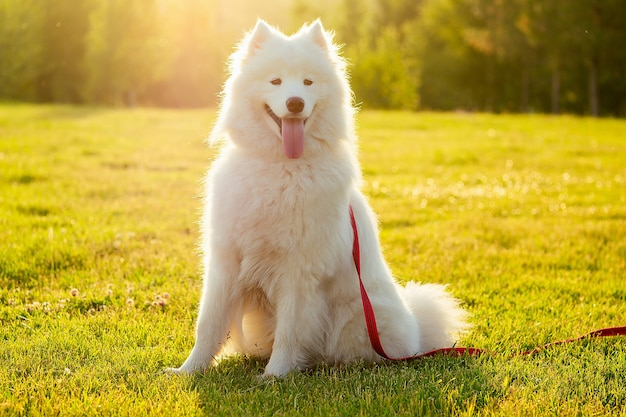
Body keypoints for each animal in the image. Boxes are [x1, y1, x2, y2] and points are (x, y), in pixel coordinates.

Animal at [169, 20, 464, 376]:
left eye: (308, 82)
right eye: (276, 81)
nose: (295, 102)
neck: (281, 167)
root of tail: (417, 333)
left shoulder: (299, 271)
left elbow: (290, 331)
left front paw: (275, 375)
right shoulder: (225, 261)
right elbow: (209, 324)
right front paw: (189, 371)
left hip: (355, 319)